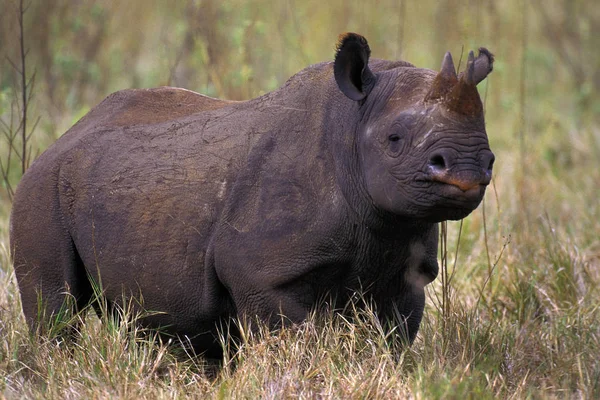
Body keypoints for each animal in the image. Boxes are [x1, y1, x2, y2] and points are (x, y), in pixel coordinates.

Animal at [11, 32, 494, 356]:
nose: (470, 168)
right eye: (395, 140)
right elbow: (292, 342)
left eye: (488, 149)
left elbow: (393, 340)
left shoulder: (406, 267)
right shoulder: (263, 273)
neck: (353, 128)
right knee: (55, 308)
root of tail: (60, 139)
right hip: (40, 187)